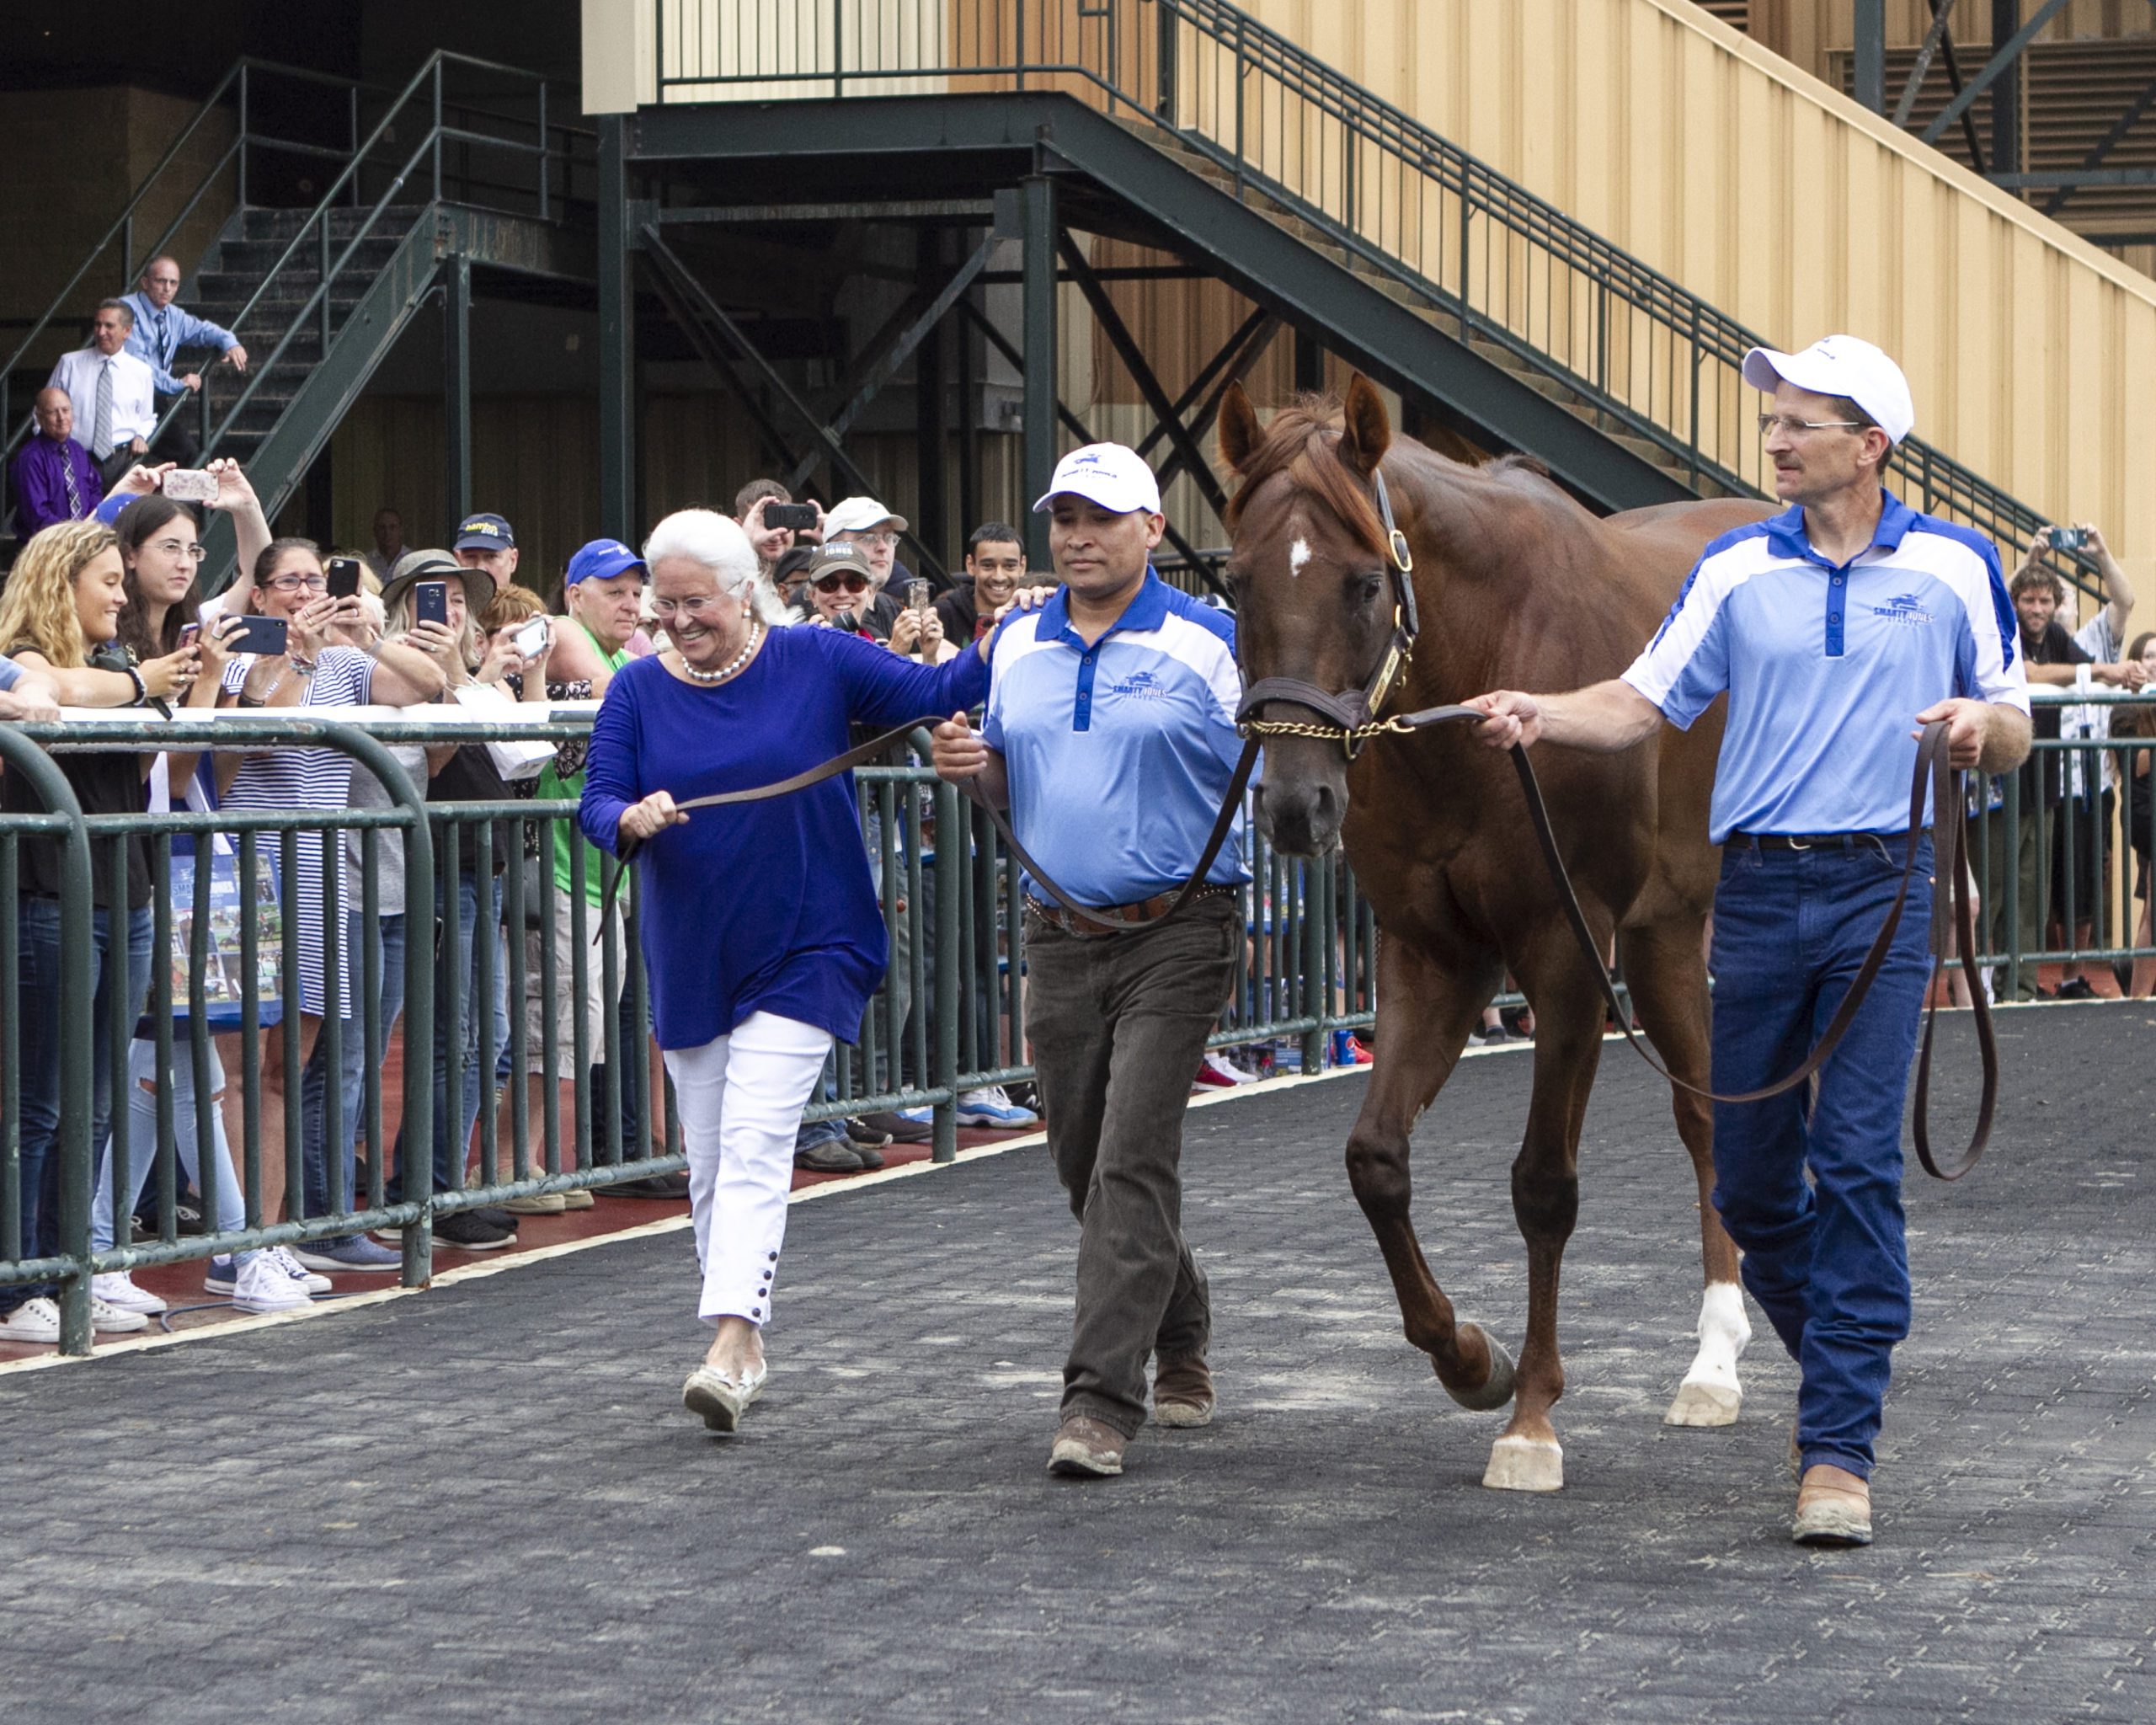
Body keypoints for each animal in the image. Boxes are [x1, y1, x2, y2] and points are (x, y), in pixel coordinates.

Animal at [1225, 372, 1776, 1483]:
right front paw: (1469, 1357)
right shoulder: (1431, 950)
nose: (1297, 805)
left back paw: (1716, 1362)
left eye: (1362, 583)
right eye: (1231, 581)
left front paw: (1530, 1415)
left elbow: (1543, 1185)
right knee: (1705, 1108)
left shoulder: (1565, 950)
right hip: (1659, 933)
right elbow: (1375, 1160)